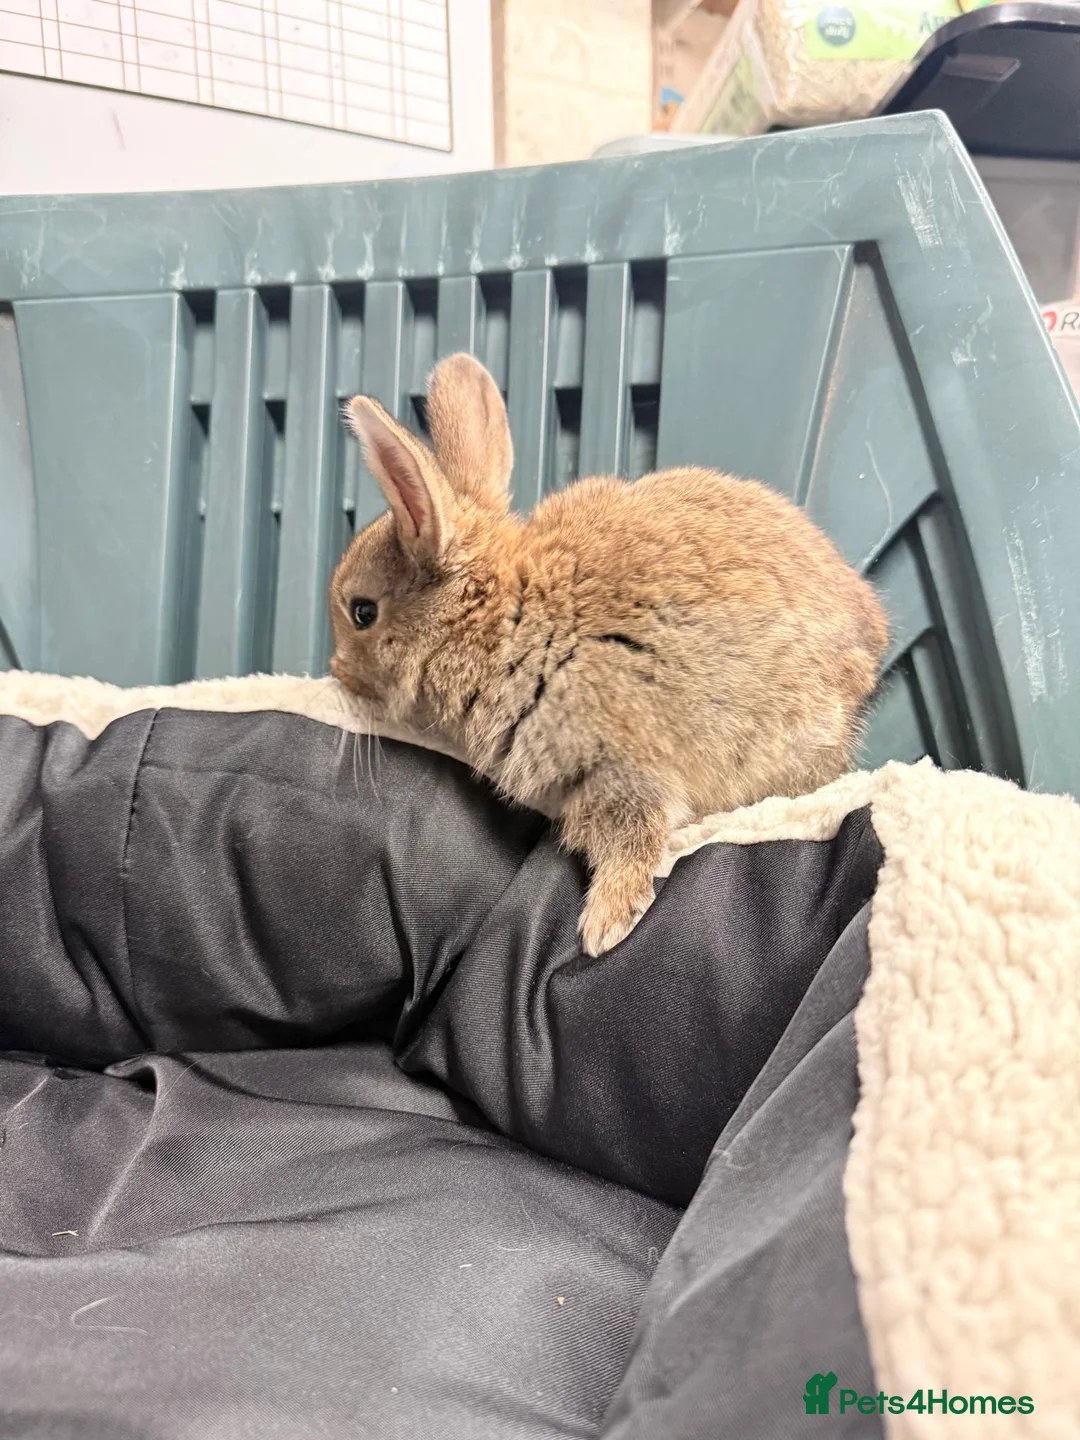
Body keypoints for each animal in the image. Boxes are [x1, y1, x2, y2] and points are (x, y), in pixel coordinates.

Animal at [329, 352, 888, 957]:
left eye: (363, 612)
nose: (336, 671)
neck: (503, 619)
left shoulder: (621, 766)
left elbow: (634, 841)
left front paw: (606, 927)